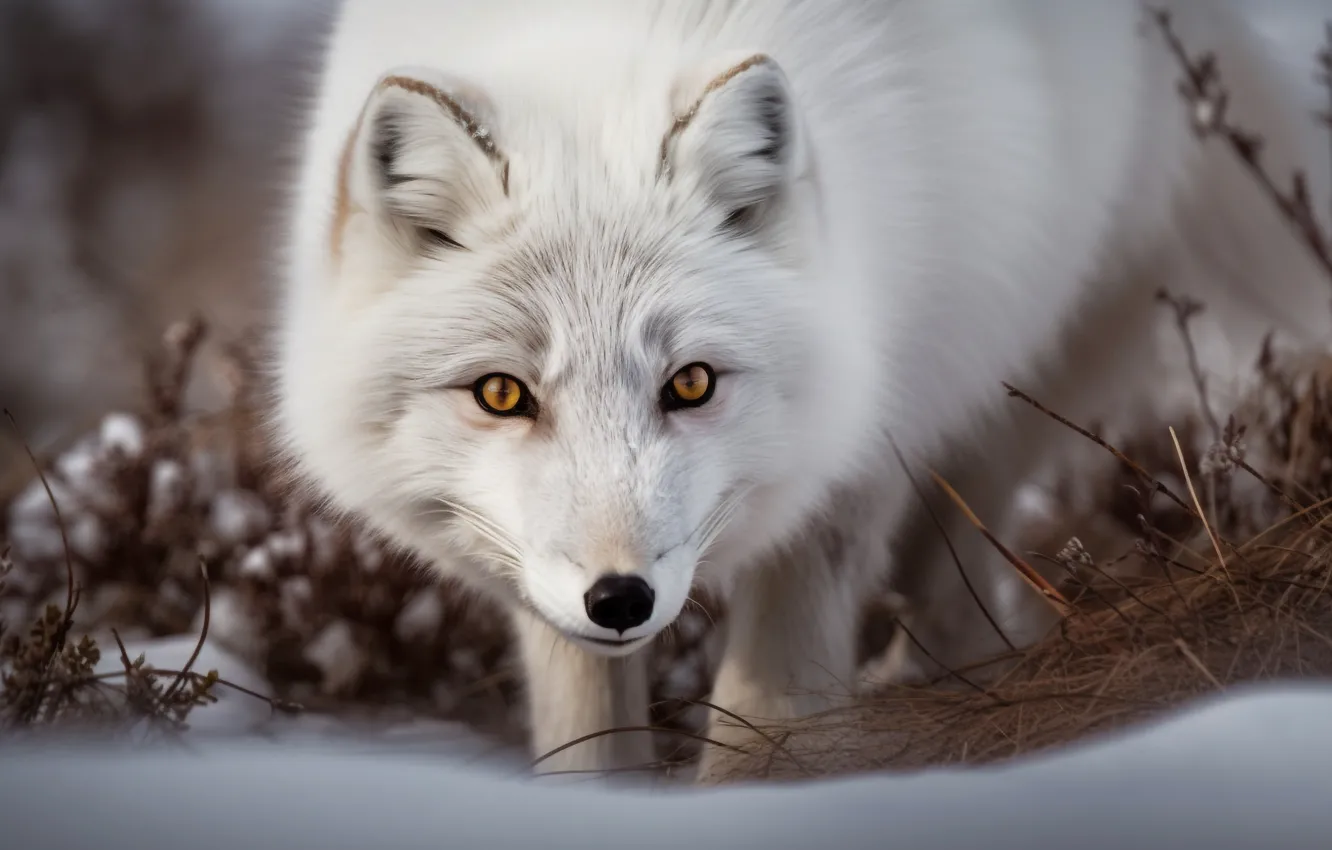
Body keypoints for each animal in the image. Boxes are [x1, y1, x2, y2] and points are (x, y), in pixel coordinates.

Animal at [272, 0, 1332, 780]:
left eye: (691, 383)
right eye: (502, 396)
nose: (620, 599)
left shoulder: (862, 440)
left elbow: (772, 692)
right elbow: (582, 719)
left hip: (1025, 338)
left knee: (964, 546)